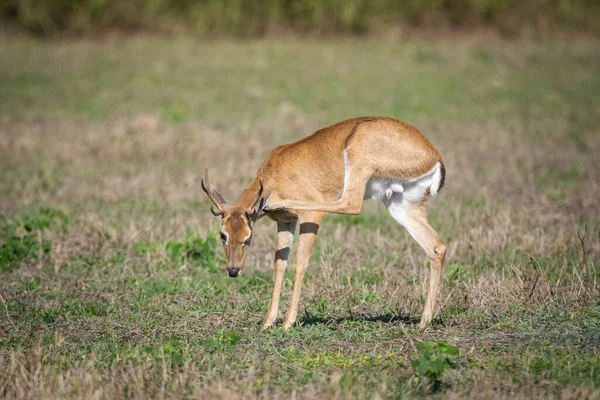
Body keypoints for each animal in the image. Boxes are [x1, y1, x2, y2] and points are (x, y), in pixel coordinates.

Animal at [202, 115, 446, 328]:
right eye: (223, 235)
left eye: (247, 237)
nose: (233, 270)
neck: (274, 170)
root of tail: (434, 156)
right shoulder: (285, 222)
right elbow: (280, 264)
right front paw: (268, 323)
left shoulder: (309, 219)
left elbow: (300, 262)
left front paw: (288, 323)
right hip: (401, 206)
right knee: (437, 246)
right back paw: (424, 322)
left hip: (357, 168)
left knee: (349, 204)